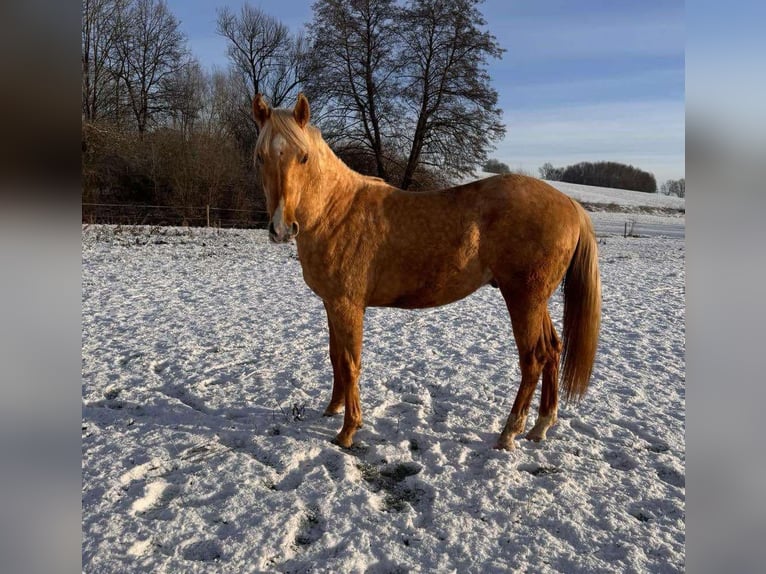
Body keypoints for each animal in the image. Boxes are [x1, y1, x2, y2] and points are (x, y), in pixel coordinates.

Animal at [250, 94, 600, 452]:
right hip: (535, 301)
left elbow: (350, 365)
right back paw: (540, 426)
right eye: (260, 157)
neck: (336, 211)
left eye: (303, 157)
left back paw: (509, 433)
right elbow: (335, 357)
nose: (281, 228)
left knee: (534, 359)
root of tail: (570, 205)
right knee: (553, 350)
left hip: (524, 299)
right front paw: (332, 409)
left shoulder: (347, 305)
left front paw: (347, 431)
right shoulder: (331, 304)